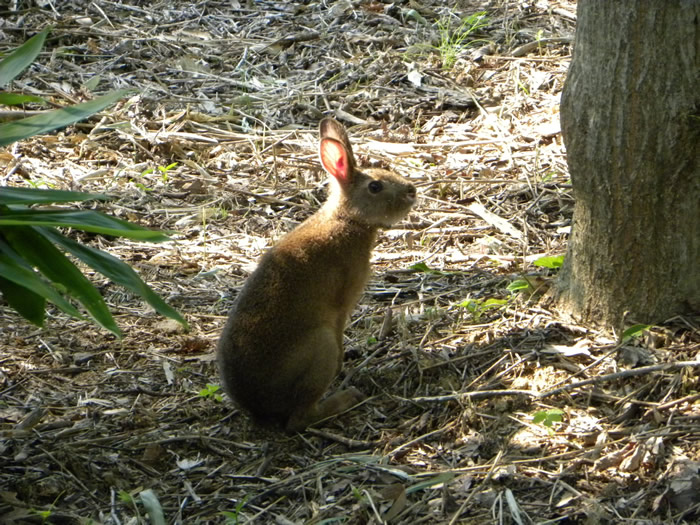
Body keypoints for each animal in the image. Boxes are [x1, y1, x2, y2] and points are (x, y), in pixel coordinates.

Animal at [217, 117, 416, 432]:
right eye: (375, 186)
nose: (412, 191)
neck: (348, 220)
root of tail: (257, 407)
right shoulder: (342, 305)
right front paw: (343, 367)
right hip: (319, 349)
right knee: (299, 419)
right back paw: (346, 397)